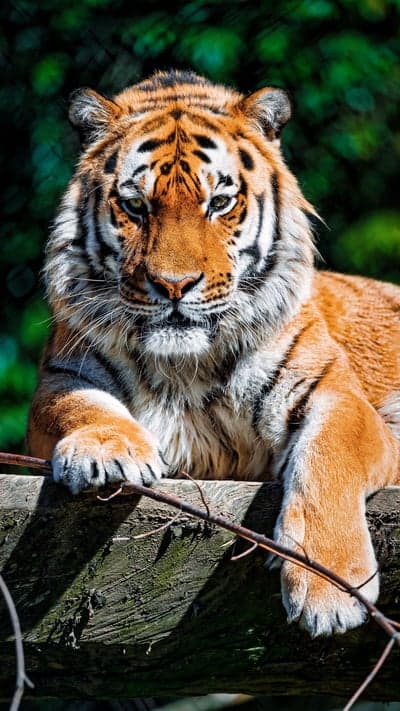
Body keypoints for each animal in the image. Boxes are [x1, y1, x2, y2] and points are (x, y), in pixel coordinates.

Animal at [27, 69, 400, 638]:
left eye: (219, 203)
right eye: (135, 206)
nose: (174, 285)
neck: (187, 365)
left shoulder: (335, 395)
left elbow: (329, 453)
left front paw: (329, 590)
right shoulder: (60, 377)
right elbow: (77, 405)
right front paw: (106, 451)